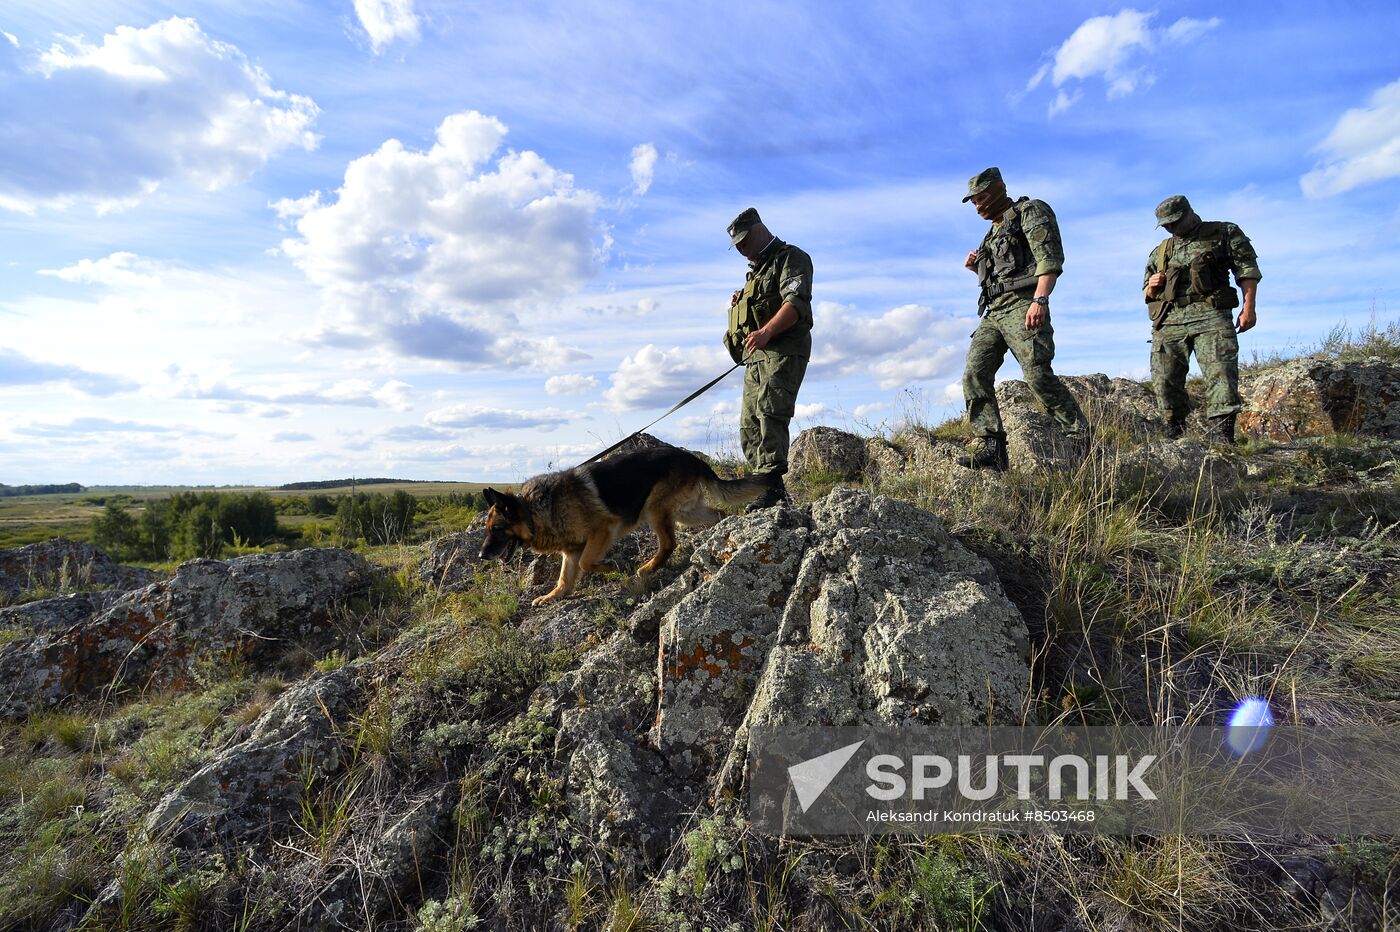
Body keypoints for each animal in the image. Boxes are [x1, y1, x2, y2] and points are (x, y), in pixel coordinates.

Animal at [478, 447, 767, 607]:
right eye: (487, 529)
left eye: (497, 529)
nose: (481, 555)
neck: (534, 511)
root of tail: (691, 458)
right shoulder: (570, 551)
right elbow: (565, 580)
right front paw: (552, 597)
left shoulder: (602, 531)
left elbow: (586, 563)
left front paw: (615, 567)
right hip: (685, 512)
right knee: (718, 514)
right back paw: (720, 531)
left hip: (655, 510)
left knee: (669, 543)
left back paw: (648, 567)